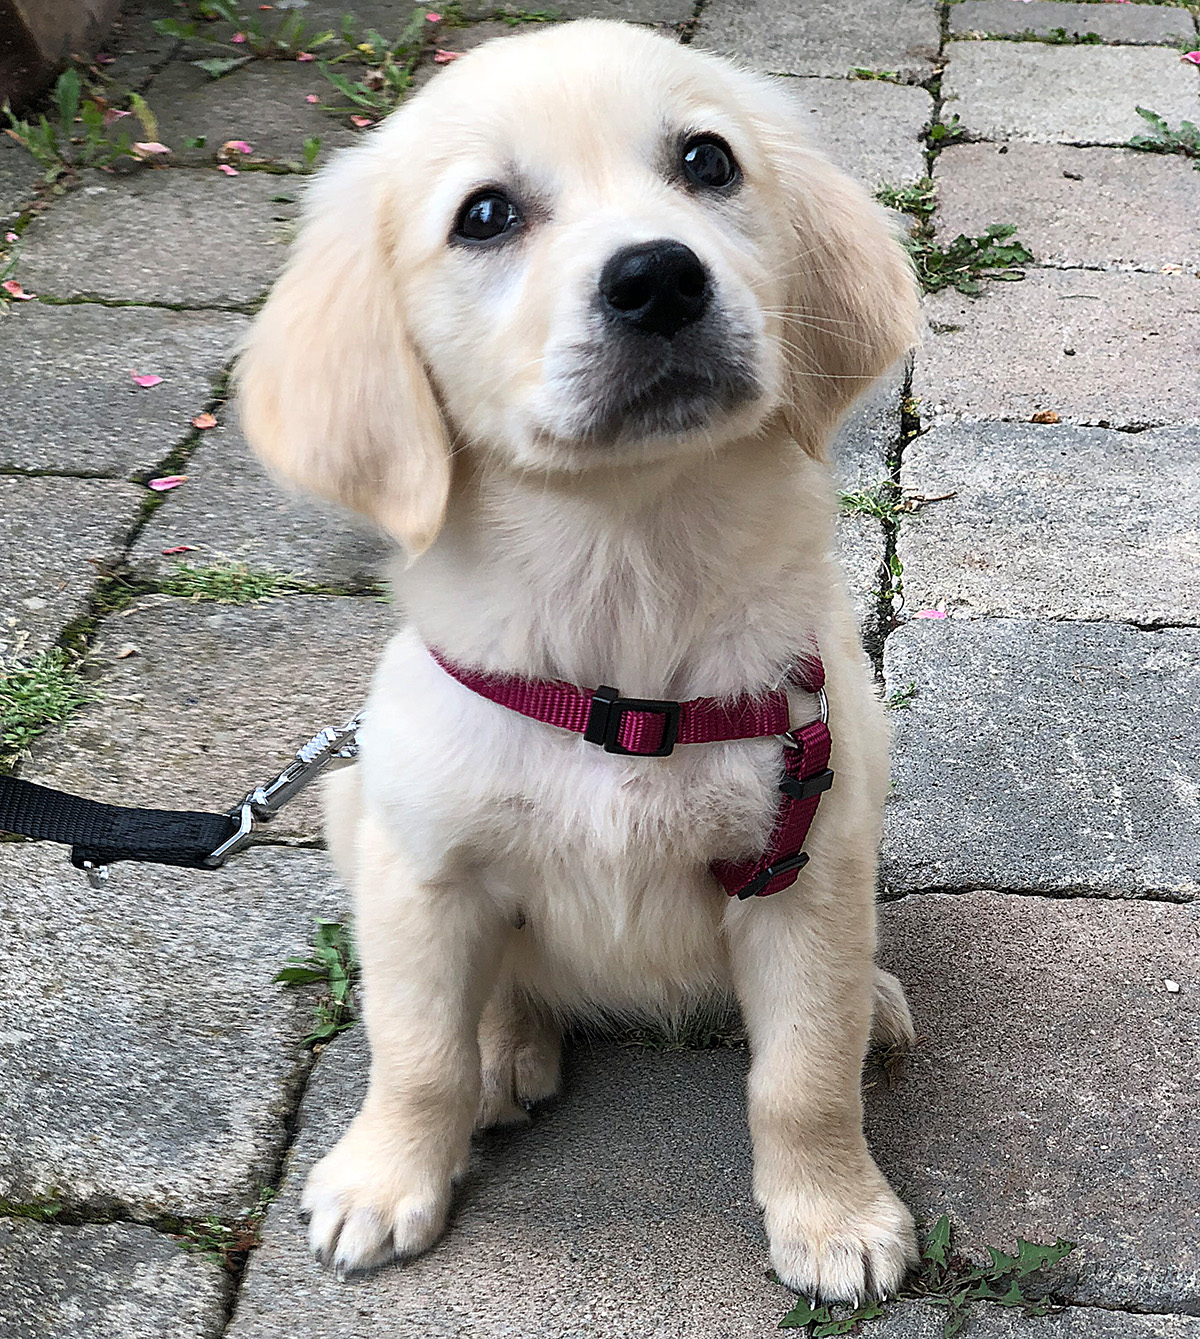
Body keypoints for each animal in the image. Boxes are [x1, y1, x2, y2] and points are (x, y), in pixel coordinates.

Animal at [238, 15, 921, 1301]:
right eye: (485, 215)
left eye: (707, 161)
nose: (660, 277)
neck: (625, 585)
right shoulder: (418, 873)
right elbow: (414, 1052)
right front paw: (383, 1180)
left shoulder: (805, 871)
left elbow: (801, 1074)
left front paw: (835, 1217)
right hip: (356, 803)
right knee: (498, 993)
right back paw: (505, 1047)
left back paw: (884, 1000)